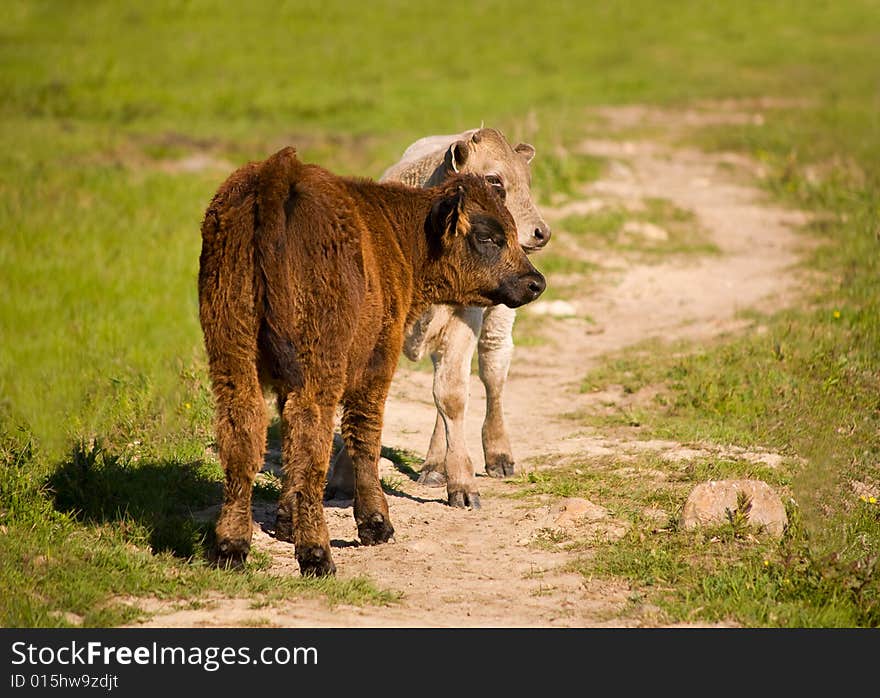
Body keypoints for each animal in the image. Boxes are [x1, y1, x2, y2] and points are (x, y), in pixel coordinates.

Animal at [198, 144, 544, 572]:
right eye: (488, 237)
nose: (536, 282)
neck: (396, 234)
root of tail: (280, 174)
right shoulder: (377, 363)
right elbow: (363, 435)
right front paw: (376, 524)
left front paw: (285, 523)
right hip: (318, 364)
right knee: (312, 435)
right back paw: (317, 555)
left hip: (233, 356)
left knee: (243, 433)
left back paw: (230, 547)